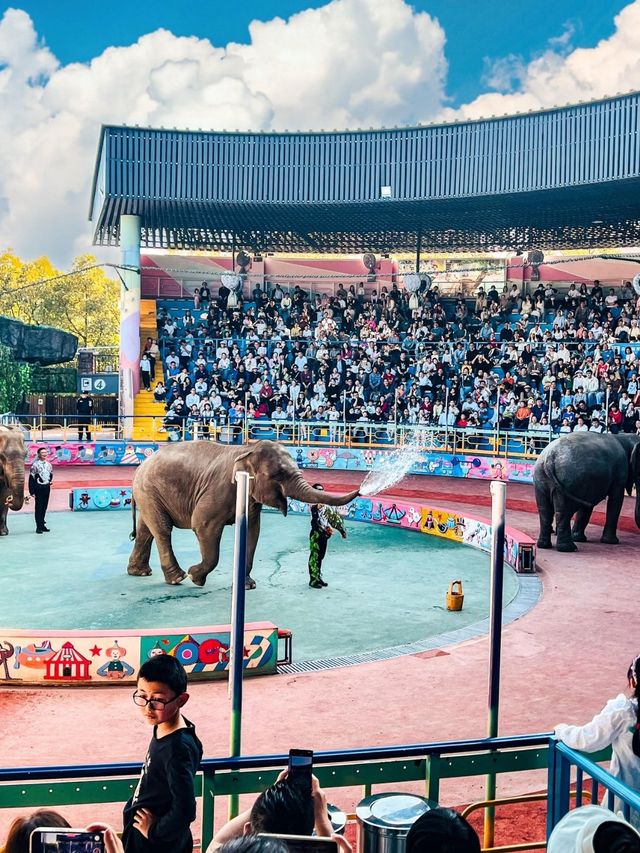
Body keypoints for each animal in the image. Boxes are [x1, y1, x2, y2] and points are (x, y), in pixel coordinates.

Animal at [127, 440, 362, 584]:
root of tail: (141, 466)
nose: (362, 488)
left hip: (149, 494)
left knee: (146, 530)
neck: (245, 449)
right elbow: (202, 525)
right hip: (149, 490)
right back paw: (178, 578)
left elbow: (252, 532)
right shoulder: (218, 490)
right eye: (279, 474)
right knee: (162, 530)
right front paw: (195, 577)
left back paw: (140, 572)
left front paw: (248, 585)